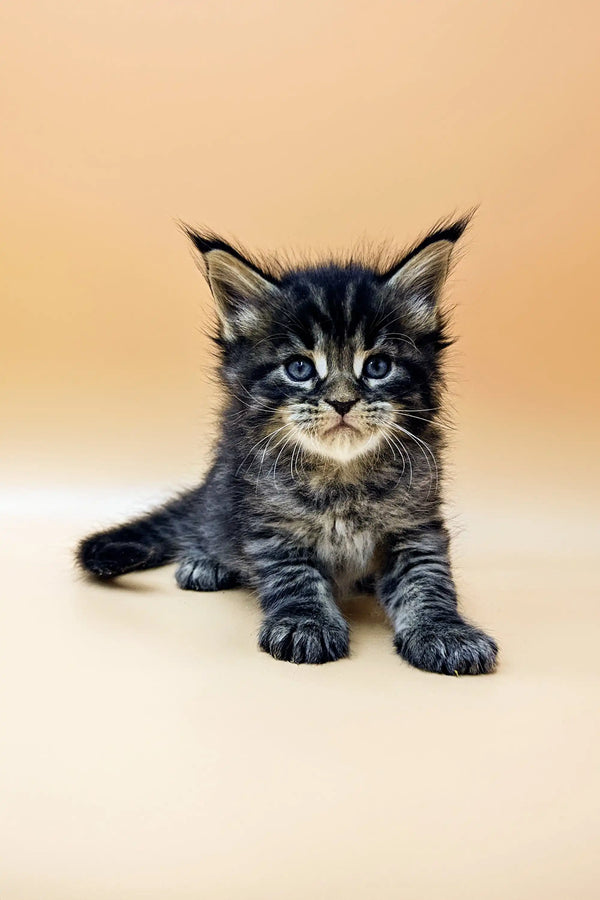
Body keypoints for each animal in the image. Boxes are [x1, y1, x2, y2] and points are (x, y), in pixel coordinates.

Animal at [78, 220, 496, 676]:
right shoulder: (270, 522)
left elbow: (428, 580)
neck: (342, 479)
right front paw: (306, 624)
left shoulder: (417, 523)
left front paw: (445, 631)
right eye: (299, 368)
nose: (343, 401)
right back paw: (206, 561)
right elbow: (294, 577)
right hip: (224, 489)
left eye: (378, 367)